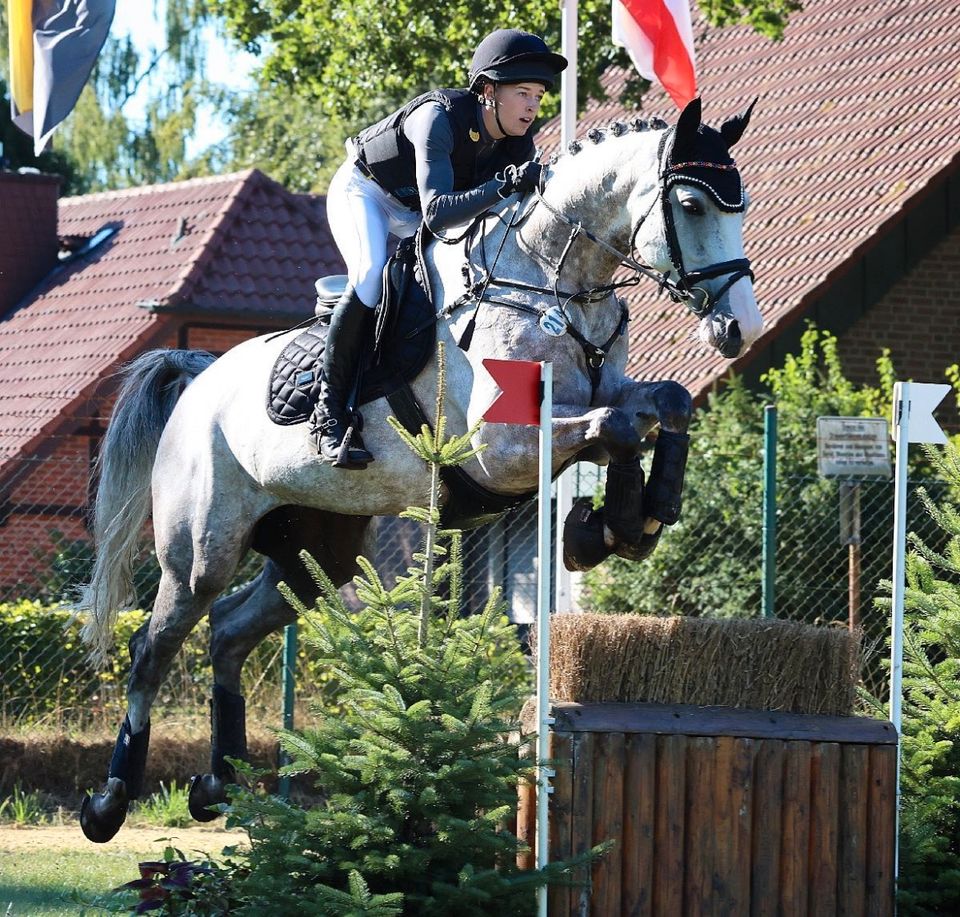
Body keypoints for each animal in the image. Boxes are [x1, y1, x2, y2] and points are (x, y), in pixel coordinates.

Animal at [75, 96, 764, 840]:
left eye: (742, 205)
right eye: (692, 203)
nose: (740, 329)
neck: (551, 282)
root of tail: (197, 378)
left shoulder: (598, 396)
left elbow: (660, 406)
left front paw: (630, 521)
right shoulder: (501, 450)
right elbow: (617, 428)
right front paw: (605, 526)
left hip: (317, 552)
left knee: (228, 632)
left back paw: (219, 784)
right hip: (200, 552)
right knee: (152, 650)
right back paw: (110, 800)